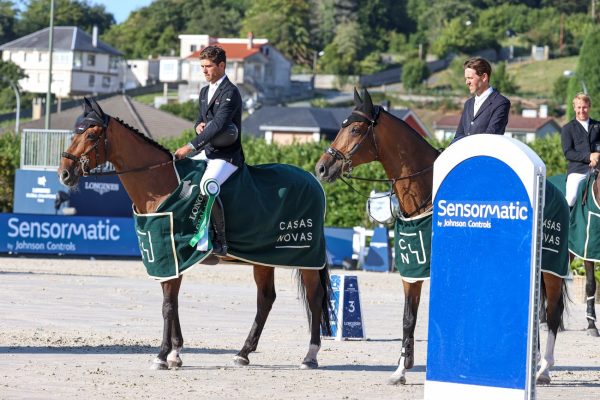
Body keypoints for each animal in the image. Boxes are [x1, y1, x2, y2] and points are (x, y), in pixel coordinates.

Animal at [59, 98, 332, 370]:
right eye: (74, 133)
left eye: (91, 135)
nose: (64, 173)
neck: (160, 186)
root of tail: (312, 180)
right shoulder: (166, 258)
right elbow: (173, 303)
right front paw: (175, 353)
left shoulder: (174, 254)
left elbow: (168, 306)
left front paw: (162, 356)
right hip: (263, 258)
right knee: (266, 299)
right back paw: (243, 353)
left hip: (306, 257)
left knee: (314, 296)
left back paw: (310, 356)